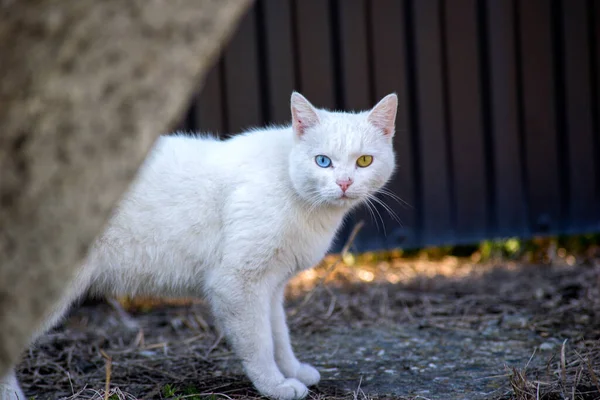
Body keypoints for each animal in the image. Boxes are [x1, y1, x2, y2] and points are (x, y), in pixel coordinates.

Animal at [3, 91, 398, 400]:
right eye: (323, 161)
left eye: (364, 161)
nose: (344, 183)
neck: (291, 185)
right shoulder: (237, 282)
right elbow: (259, 342)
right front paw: (274, 386)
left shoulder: (272, 285)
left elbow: (279, 334)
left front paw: (294, 370)